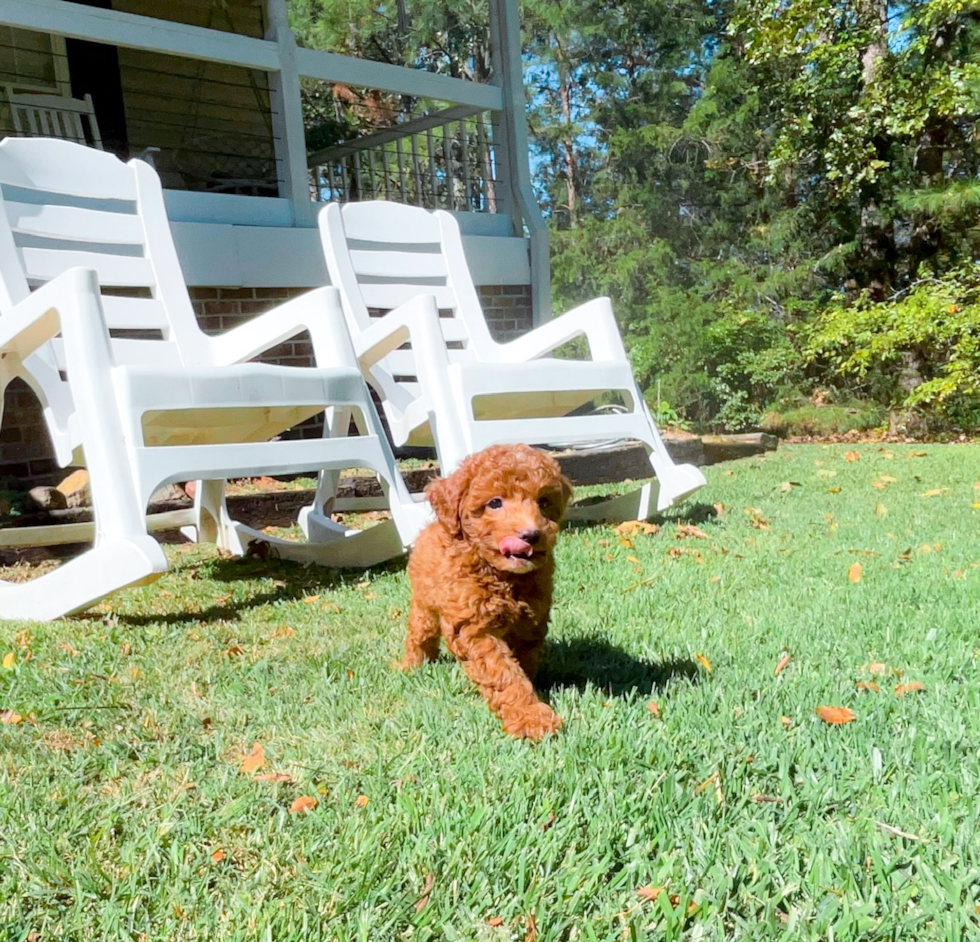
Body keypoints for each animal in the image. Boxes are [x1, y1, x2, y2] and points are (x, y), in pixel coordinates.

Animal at [402, 446, 576, 740]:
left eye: (543, 502)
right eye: (495, 503)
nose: (531, 535)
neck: (503, 576)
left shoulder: (531, 623)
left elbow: (523, 663)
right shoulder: (474, 628)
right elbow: (504, 673)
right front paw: (531, 718)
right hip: (424, 605)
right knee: (419, 634)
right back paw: (411, 665)